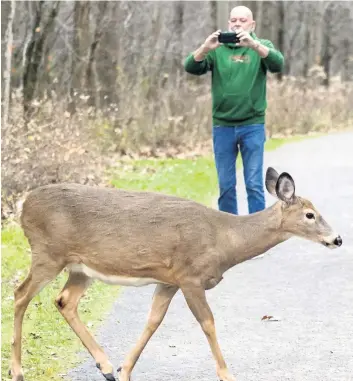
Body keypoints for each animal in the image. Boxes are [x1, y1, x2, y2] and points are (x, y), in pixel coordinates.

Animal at [10, 167, 340, 380]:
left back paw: (106, 367)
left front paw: (125, 370)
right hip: (48, 253)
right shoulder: (190, 276)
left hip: (81, 267)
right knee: (20, 295)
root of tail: (23, 205)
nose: (337, 239)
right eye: (310, 214)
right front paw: (227, 375)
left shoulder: (168, 281)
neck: (225, 239)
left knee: (65, 300)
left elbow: (153, 321)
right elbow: (208, 323)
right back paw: (18, 370)